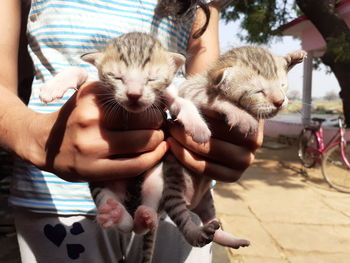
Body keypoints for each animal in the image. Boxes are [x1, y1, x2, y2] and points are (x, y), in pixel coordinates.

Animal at [161, 46, 306, 251]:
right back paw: (197, 233)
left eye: (282, 85)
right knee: (183, 221)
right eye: (259, 91)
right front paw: (241, 115)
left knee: (212, 223)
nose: (280, 101)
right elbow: (214, 98)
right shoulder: (189, 88)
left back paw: (230, 239)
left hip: (207, 200)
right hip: (173, 190)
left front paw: (292, 57)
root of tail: (192, 203)